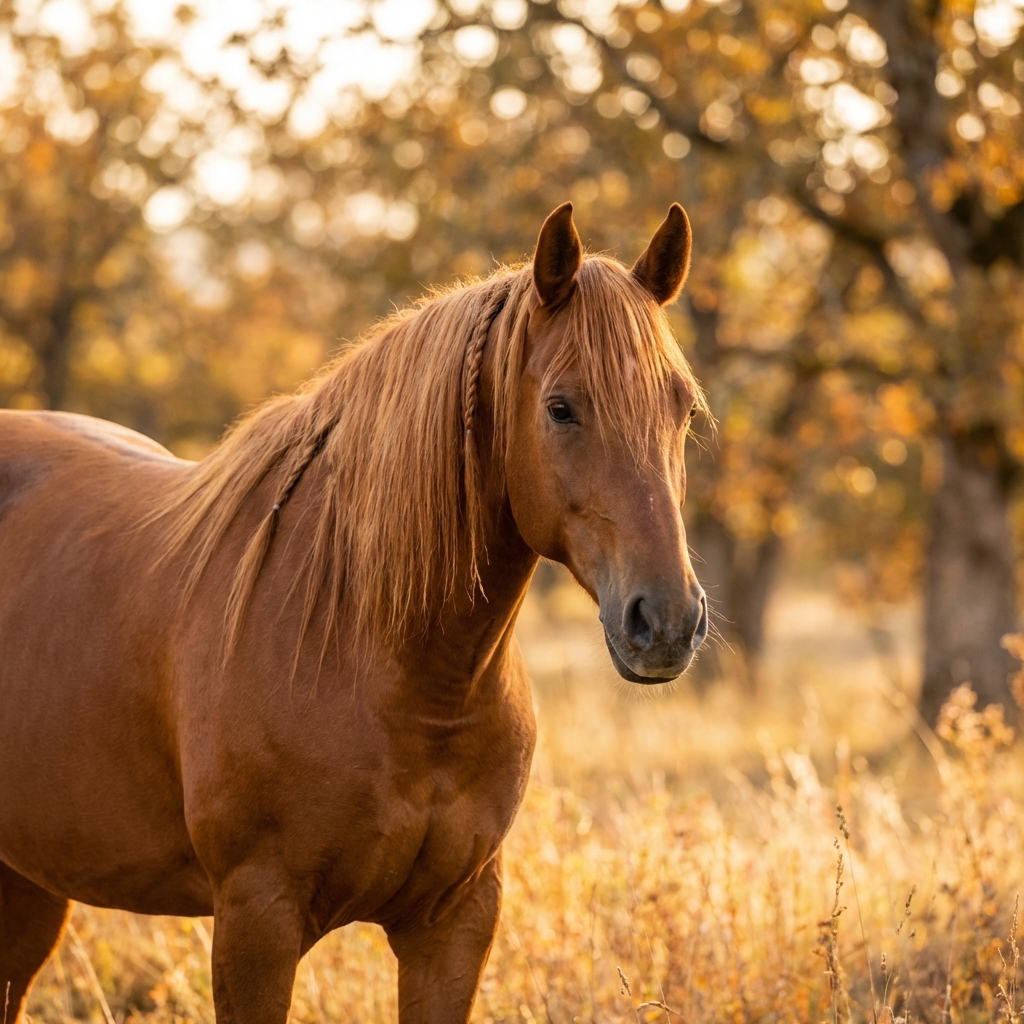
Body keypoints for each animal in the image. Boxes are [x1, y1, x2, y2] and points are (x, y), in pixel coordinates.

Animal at [0, 201, 708, 1023]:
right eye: (561, 408)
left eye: (681, 407)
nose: (666, 622)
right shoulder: (258, 921)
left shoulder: (454, 923)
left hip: (29, 880)